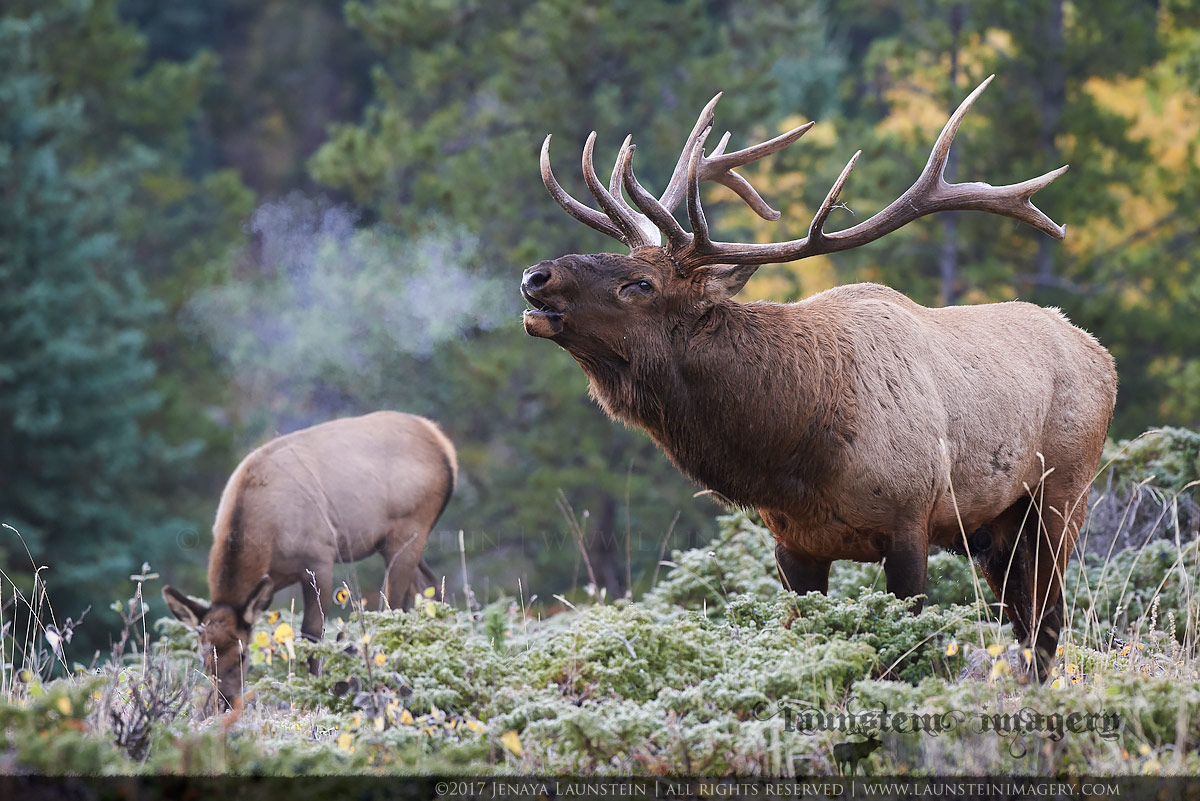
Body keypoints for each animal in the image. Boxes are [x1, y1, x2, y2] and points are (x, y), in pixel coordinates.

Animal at [164, 412, 453, 705]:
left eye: (243, 655)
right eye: (203, 657)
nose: (224, 702)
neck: (265, 537)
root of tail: (444, 446)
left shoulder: (319, 559)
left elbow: (311, 633)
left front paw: (314, 687)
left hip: (409, 529)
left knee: (395, 607)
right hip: (394, 542)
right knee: (431, 590)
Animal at [520, 74, 1118, 681]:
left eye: (640, 284)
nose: (536, 276)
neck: (801, 447)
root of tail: (1103, 357)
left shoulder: (911, 520)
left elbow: (906, 652)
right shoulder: (793, 543)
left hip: (1060, 499)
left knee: (1048, 623)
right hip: (997, 530)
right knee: (1028, 627)